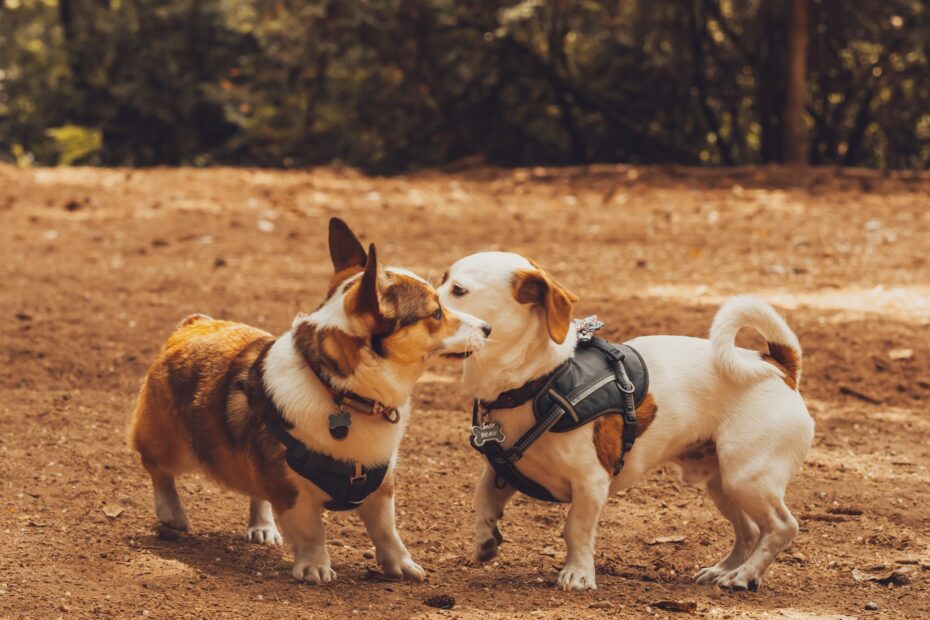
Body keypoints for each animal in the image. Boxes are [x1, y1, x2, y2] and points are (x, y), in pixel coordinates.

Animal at [130, 220, 490, 584]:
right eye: (436, 312)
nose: (487, 328)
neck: (341, 393)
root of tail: (193, 324)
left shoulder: (380, 487)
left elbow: (387, 532)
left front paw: (401, 566)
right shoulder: (293, 493)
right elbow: (312, 531)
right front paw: (315, 567)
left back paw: (262, 525)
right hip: (172, 446)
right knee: (158, 469)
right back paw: (171, 512)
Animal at [438, 251, 808, 592]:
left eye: (458, 290)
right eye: (442, 280)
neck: (539, 381)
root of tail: (779, 366)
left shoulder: (591, 482)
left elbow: (576, 529)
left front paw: (577, 574)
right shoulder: (500, 471)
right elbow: (483, 499)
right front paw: (485, 540)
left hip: (746, 478)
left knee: (782, 527)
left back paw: (744, 575)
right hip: (723, 484)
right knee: (749, 530)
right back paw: (724, 570)